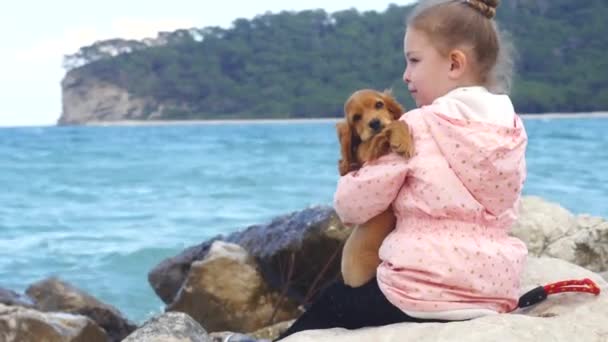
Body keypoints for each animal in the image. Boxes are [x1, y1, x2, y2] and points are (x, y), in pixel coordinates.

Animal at [334, 89, 416, 288]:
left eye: (379, 104)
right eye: (356, 117)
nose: (375, 123)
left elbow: (397, 121)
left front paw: (402, 139)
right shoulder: (367, 152)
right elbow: (391, 126)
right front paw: (401, 140)